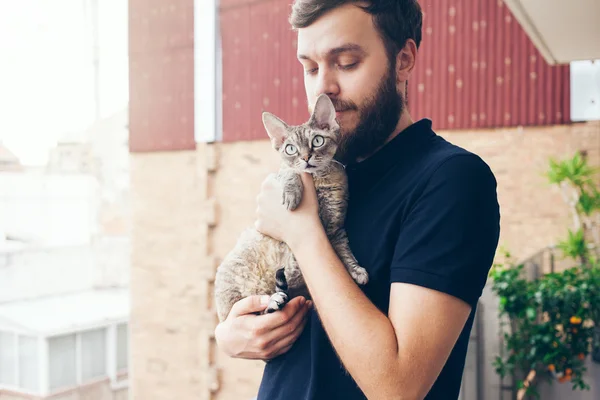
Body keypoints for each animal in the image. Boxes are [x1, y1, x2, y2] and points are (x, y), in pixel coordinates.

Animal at [213, 94, 368, 322]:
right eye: (291, 149)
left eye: (317, 140)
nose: (305, 158)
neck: (319, 180)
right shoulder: (279, 174)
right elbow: (290, 172)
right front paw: (292, 194)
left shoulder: (336, 228)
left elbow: (345, 251)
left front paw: (356, 270)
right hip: (234, 287)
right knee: (253, 311)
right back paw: (273, 299)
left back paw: (277, 297)